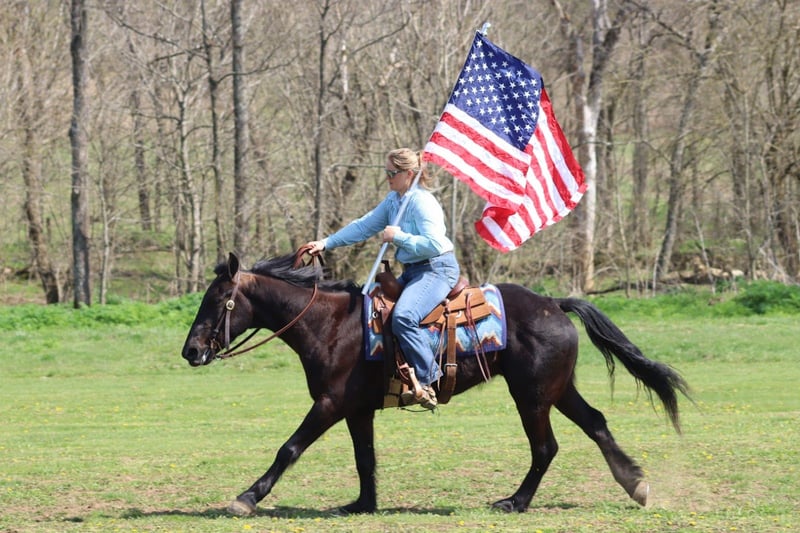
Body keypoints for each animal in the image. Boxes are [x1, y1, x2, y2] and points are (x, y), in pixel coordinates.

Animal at [181, 252, 689, 516]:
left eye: (221, 299)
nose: (191, 351)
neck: (332, 325)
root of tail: (554, 303)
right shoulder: (357, 410)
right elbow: (365, 459)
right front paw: (363, 504)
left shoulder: (329, 404)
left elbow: (288, 448)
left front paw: (246, 498)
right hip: (558, 390)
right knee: (597, 423)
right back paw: (636, 485)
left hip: (532, 397)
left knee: (546, 448)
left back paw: (514, 501)